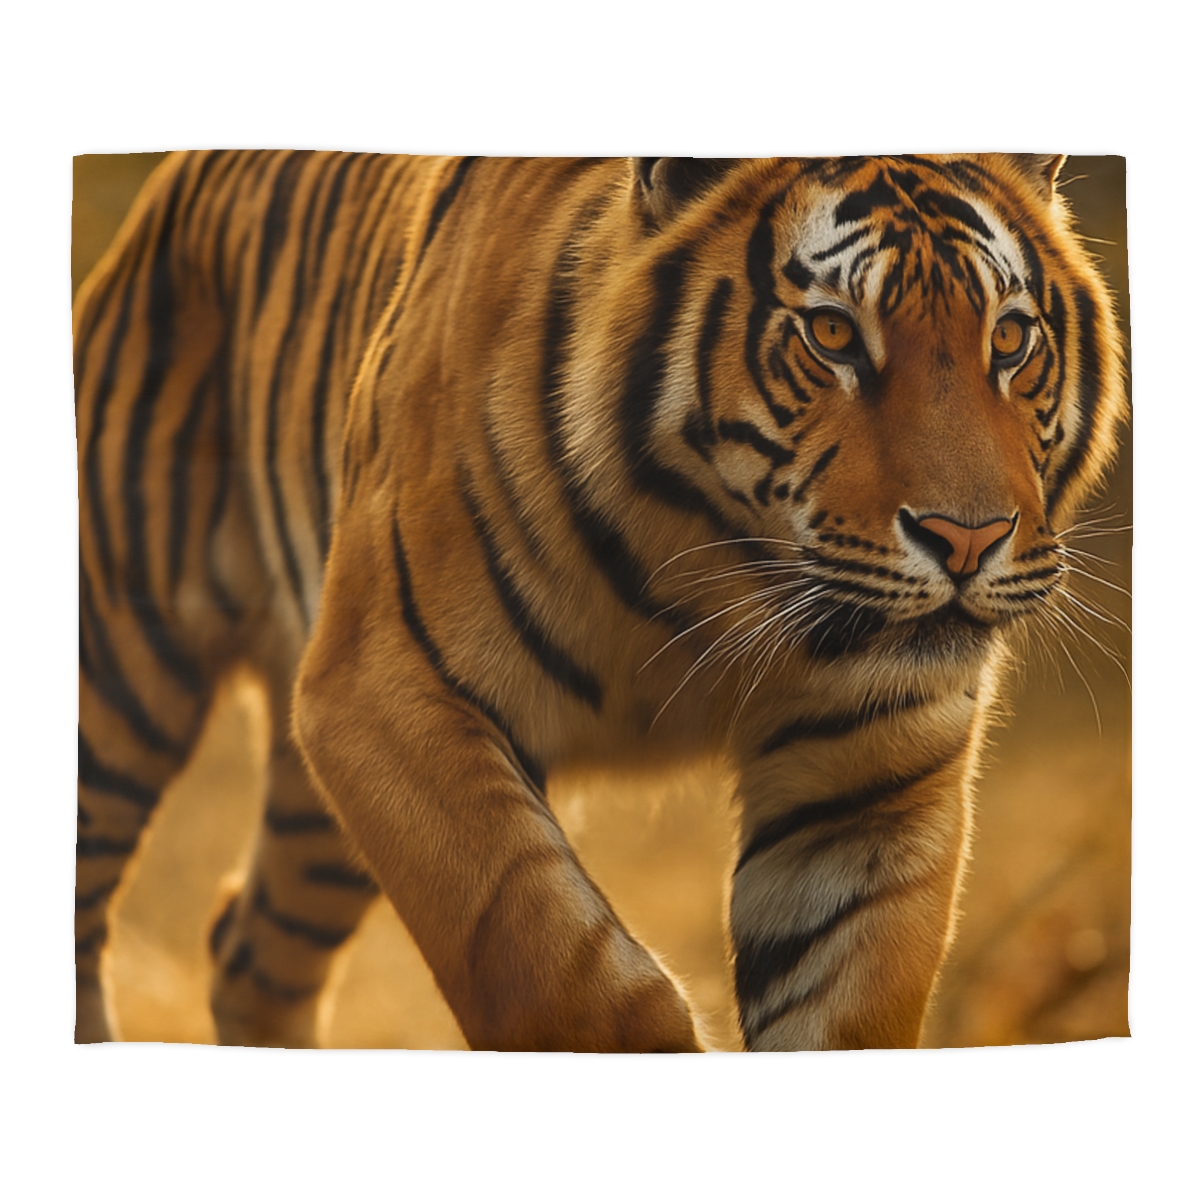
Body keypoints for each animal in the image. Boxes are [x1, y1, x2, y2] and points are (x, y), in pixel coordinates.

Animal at [74, 153, 1125, 1051]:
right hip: (119, 672)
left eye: (1009, 338)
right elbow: (552, 964)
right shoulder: (381, 693)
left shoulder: (870, 772)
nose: (967, 540)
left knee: (249, 949)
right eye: (831, 334)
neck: (715, 571)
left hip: (313, 827)